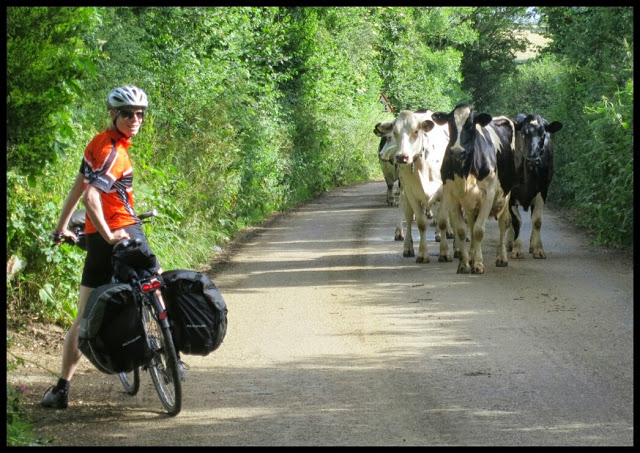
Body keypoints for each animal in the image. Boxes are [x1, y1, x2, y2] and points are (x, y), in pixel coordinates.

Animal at [372, 109, 452, 262]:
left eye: (416, 131)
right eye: (395, 132)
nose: (401, 157)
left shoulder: (444, 192)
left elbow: (443, 220)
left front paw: (445, 252)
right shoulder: (410, 192)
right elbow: (420, 222)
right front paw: (422, 254)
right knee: (408, 216)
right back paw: (407, 246)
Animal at [432, 104, 516, 274]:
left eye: (471, 126)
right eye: (450, 124)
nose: (457, 151)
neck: (466, 173)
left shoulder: (488, 195)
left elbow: (478, 231)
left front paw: (478, 264)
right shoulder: (451, 195)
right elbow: (462, 230)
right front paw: (464, 264)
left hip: (506, 194)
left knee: (504, 223)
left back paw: (501, 257)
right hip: (471, 203)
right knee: (471, 222)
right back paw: (471, 255)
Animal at [508, 112, 564, 258]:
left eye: (543, 134)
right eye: (523, 133)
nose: (533, 160)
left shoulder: (543, 190)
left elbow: (537, 220)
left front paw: (538, 249)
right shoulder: (510, 193)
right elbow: (516, 221)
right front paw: (517, 249)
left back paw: (532, 246)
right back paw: (509, 243)